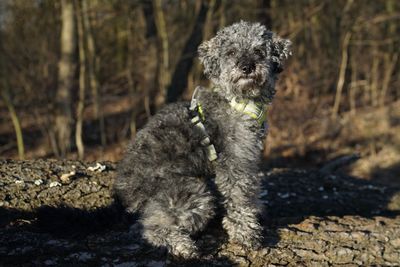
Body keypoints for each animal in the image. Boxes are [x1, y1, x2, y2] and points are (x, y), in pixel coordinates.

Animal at [114, 19, 292, 258]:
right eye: (231, 52)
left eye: (258, 51)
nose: (247, 67)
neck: (238, 102)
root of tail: (125, 195)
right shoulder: (235, 163)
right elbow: (239, 198)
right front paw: (246, 232)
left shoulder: (248, 160)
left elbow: (250, 191)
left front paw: (256, 211)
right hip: (193, 195)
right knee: (151, 227)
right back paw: (182, 246)